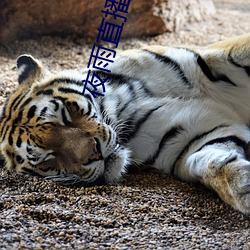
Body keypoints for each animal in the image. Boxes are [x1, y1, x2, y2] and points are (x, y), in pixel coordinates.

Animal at [0, 32, 250, 213]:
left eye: (65, 116)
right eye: (48, 158)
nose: (95, 154)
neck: (124, 106)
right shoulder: (187, 137)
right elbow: (210, 162)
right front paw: (243, 188)